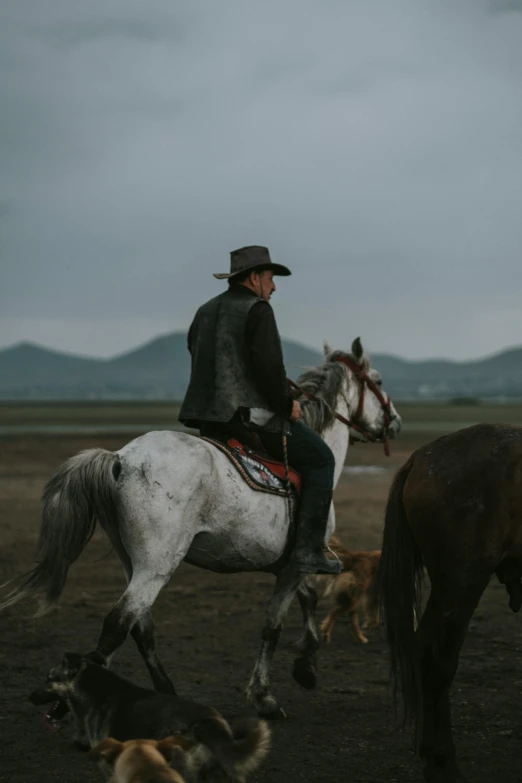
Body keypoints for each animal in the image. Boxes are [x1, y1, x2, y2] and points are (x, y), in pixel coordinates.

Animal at [2, 336, 398, 716]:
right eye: (377, 381)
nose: (394, 421)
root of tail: (121, 459)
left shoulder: (288, 563)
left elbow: (309, 598)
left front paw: (306, 668)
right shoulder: (299, 561)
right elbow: (273, 626)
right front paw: (264, 696)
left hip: (131, 561)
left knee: (140, 627)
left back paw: (165, 694)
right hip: (157, 567)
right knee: (118, 623)